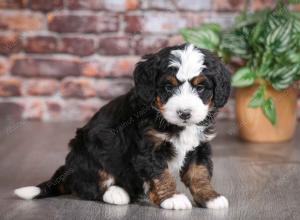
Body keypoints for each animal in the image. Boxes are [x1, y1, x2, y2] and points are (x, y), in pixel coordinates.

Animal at [14, 43, 232, 210]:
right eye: (168, 87)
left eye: (201, 87)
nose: (185, 113)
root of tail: (68, 172)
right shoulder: (147, 148)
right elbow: (160, 174)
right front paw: (172, 198)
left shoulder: (199, 146)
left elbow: (199, 173)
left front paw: (210, 197)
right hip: (89, 151)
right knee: (90, 186)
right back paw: (116, 193)